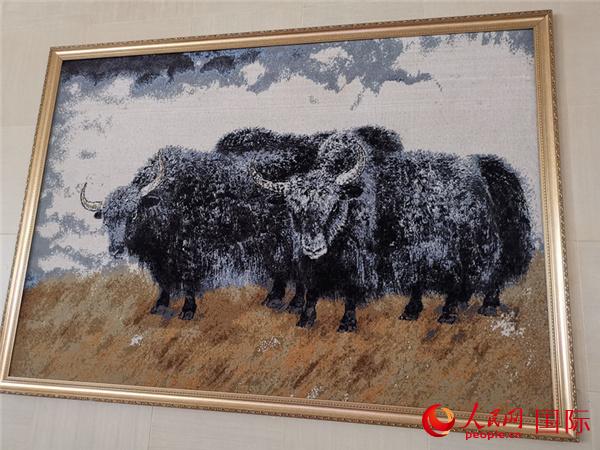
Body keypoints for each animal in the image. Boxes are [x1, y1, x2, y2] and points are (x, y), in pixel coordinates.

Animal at [250, 128, 533, 331]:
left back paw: (462, 311)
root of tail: (481, 169)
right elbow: (312, 291)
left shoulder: (359, 262)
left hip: (464, 249)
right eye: (293, 208)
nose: (313, 247)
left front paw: (347, 324)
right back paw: (415, 311)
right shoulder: (316, 266)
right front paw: (305, 320)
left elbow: (352, 291)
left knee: (477, 276)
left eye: (334, 205)